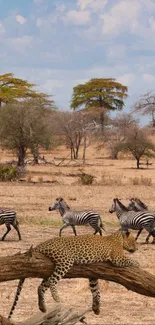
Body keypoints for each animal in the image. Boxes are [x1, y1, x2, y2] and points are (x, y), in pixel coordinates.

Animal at [7, 230, 138, 318]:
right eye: (134, 241)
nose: (136, 249)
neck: (118, 238)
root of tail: (42, 244)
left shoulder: (93, 275)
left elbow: (95, 290)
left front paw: (96, 307)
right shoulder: (117, 258)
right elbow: (128, 260)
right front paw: (137, 262)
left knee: (41, 286)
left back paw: (42, 307)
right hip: (66, 260)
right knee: (53, 281)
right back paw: (56, 297)